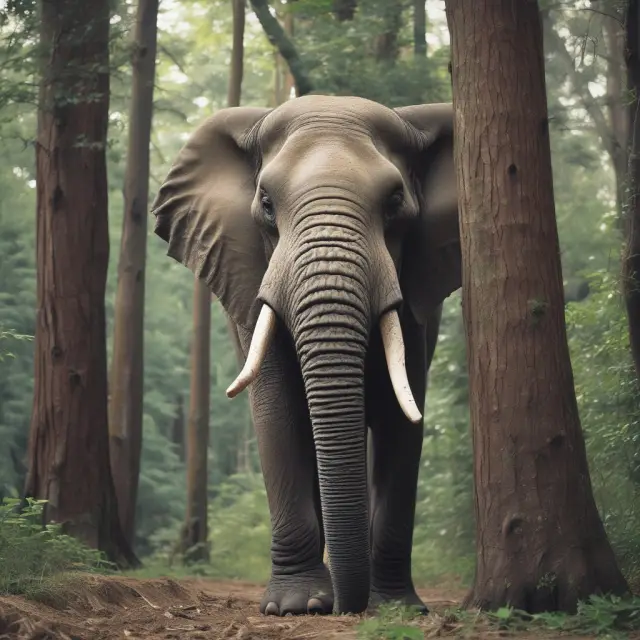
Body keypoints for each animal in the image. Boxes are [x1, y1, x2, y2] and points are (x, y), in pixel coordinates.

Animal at [151, 95, 462, 616]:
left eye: (394, 202)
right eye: (267, 204)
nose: (348, 608)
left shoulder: (417, 303)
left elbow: (401, 421)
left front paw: (396, 607)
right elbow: (278, 412)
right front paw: (298, 606)